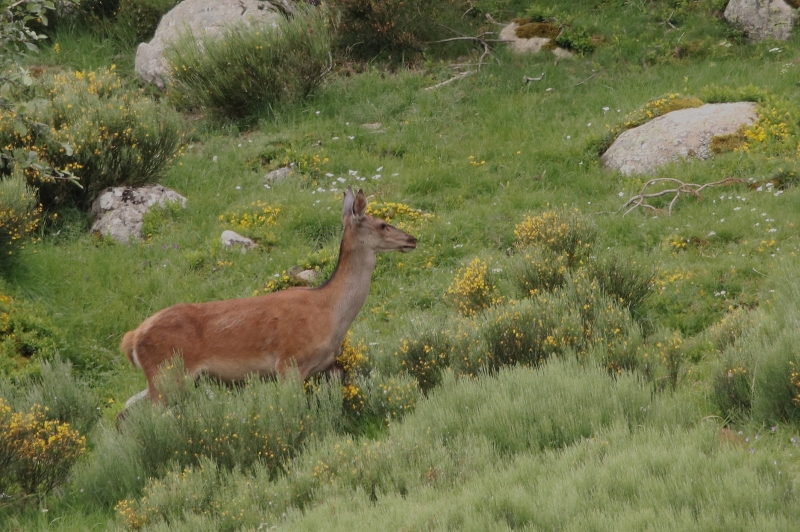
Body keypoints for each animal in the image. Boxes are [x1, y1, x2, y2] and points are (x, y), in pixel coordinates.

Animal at [119, 189, 418, 422]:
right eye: (382, 224)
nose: (412, 239)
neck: (330, 312)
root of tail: (132, 338)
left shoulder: (327, 366)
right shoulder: (289, 363)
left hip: (163, 379)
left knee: (125, 412)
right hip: (167, 374)